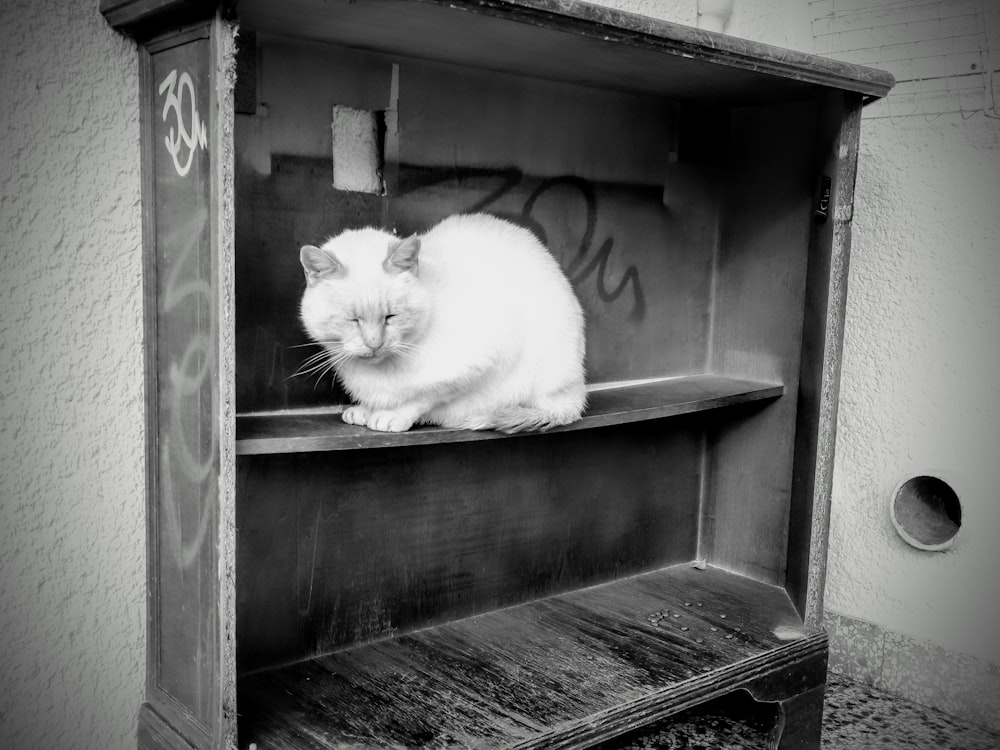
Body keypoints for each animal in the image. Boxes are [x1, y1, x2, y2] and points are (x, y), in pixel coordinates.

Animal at [300, 213, 588, 434]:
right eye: (352, 320)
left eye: (390, 317)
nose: (374, 344)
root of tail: (577, 394)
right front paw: (367, 410)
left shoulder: (477, 364)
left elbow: (423, 397)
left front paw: (391, 415)